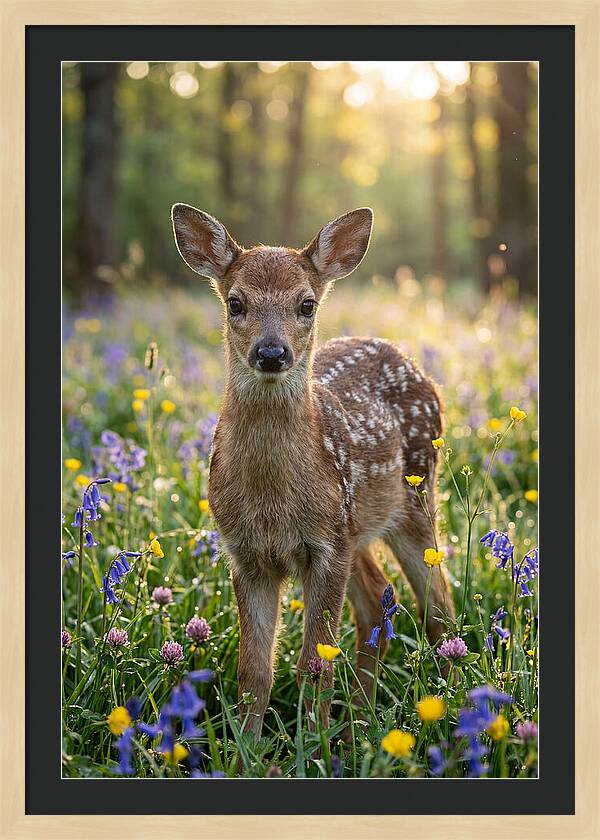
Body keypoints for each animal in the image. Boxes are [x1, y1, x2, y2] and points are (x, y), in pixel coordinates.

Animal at [171, 203, 454, 742]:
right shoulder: (246, 553)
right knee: (378, 602)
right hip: (357, 527)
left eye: (306, 304)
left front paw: (313, 746)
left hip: (413, 498)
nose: (271, 352)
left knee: (439, 608)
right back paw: (360, 723)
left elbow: (313, 663)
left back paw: (448, 712)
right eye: (235, 303)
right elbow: (254, 670)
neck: (272, 499)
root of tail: (412, 362)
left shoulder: (325, 547)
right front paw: (247, 749)